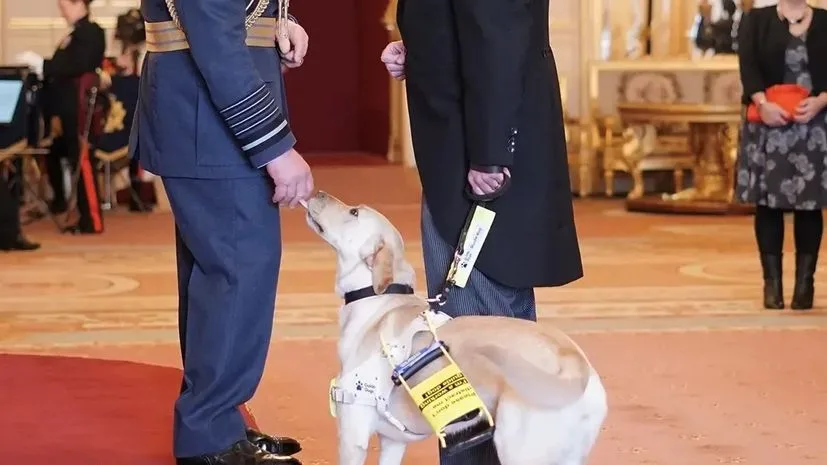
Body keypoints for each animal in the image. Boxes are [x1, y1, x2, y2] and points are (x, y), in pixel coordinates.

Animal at [304, 190, 608, 462]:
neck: (377, 297)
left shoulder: (352, 437)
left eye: (354, 212)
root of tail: (575, 361)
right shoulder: (393, 442)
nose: (317, 191)